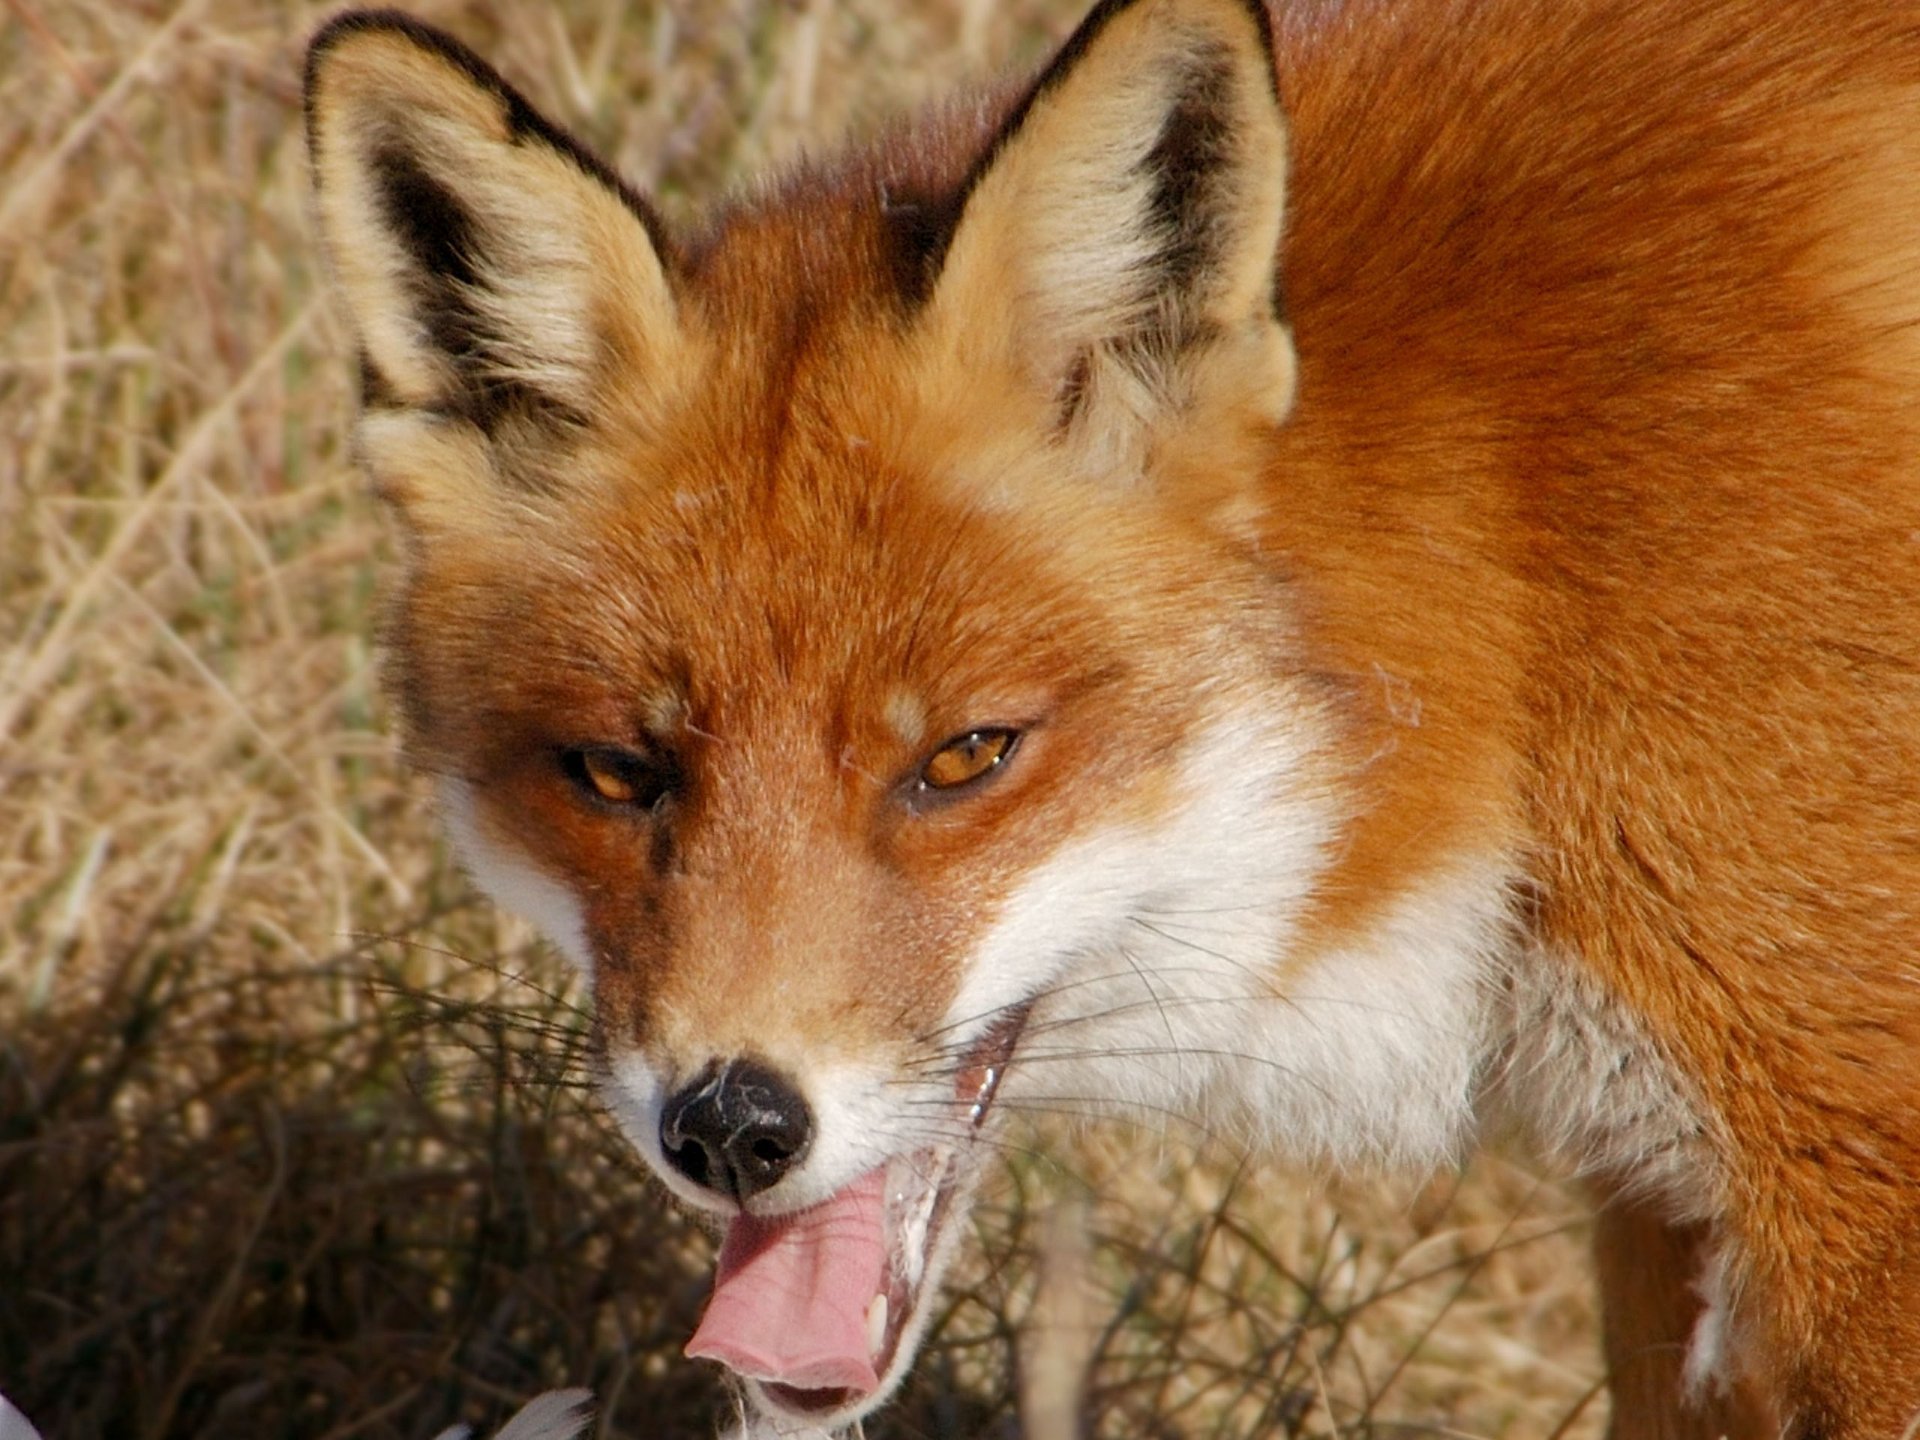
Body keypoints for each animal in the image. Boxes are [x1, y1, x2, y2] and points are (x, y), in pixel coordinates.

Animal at [304, 0, 1920, 1433]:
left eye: (965, 757)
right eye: (616, 771)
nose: (732, 1129)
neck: (1517, 552)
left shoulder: (1853, 1180)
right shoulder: (1656, 1198)